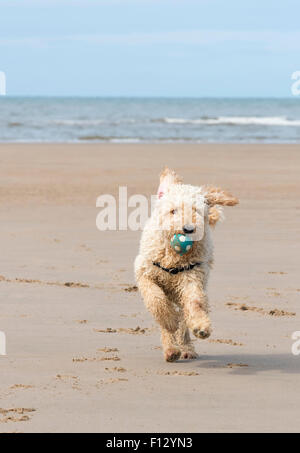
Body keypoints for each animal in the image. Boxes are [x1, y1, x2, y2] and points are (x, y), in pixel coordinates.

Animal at [135, 168, 238, 362]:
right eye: (173, 211)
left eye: (196, 210)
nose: (188, 229)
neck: (174, 257)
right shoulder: (145, 272)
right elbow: (156, 300)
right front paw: (169, 321)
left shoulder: (192, 277)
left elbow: (195, 303)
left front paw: (201, 327)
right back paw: (171, 349)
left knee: (184, 317)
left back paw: (186, 349)